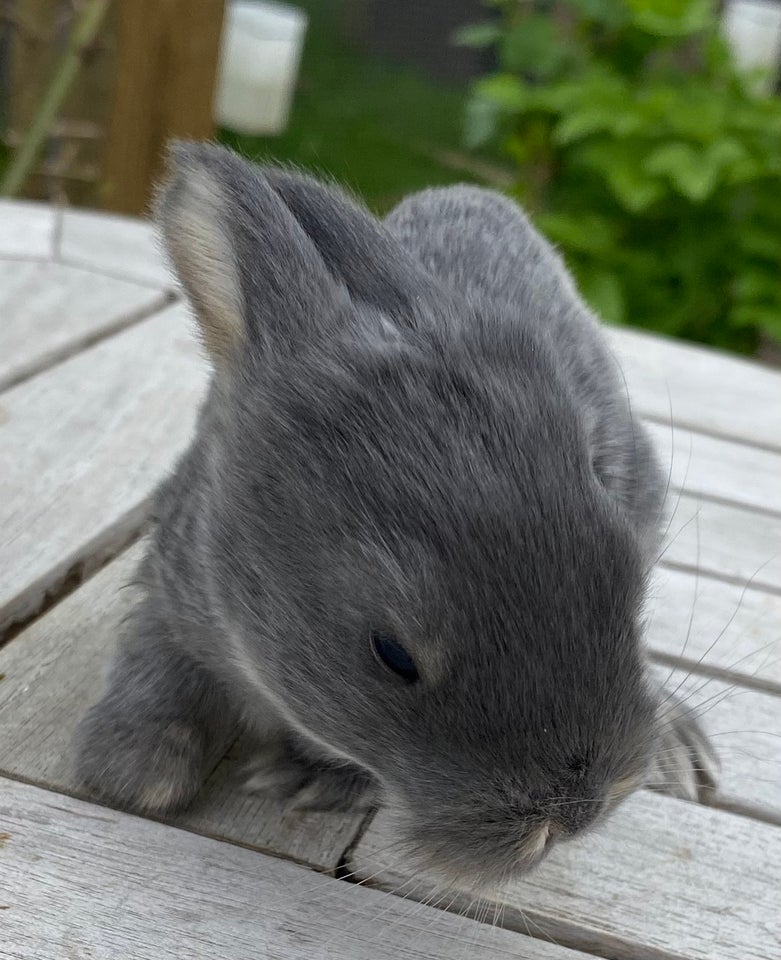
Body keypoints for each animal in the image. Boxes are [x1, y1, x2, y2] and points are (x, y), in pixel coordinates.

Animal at [76, 144, 716, 892]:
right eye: (392, 655)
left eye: (628, 593)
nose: (577, 812)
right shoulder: (177, 577)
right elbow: (154, 657)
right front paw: (130, 767)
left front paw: (310, 781)